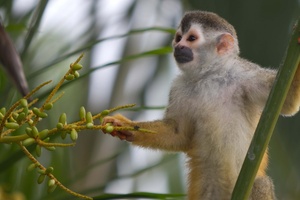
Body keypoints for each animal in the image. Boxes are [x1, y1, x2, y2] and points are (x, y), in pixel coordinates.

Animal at [101, 10, 300, 200]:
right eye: (178, 37)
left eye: (191, 38)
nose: (178, 46)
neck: (209, 75)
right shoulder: (178, 88)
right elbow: (177, 133)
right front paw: (126, 127)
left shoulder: (245, 73)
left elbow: (287, 101)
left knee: (261, 183)